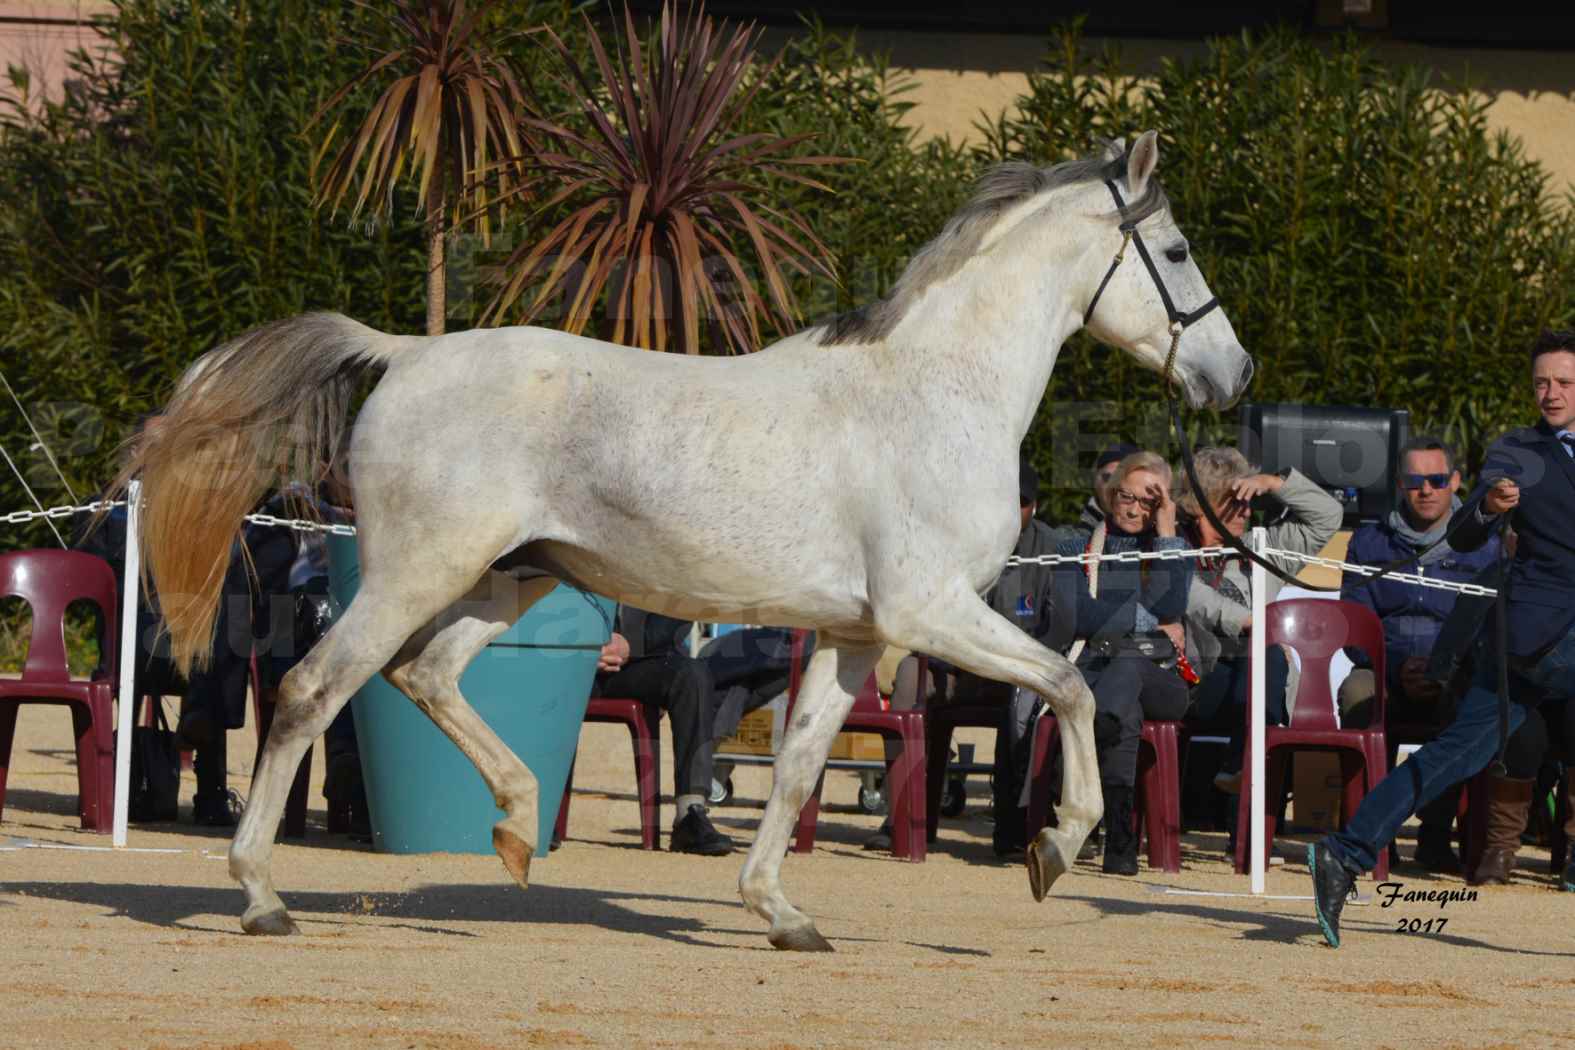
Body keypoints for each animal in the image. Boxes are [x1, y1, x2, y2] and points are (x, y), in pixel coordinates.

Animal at [122, 131, 1247, 950]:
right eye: (1178, 252)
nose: (1231, 377)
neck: (935, 394)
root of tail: (403, 353)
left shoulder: (854, 633)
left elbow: (797, 765)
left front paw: (781, 915)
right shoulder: (930, 612)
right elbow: (1067, 684)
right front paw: (1055, 848)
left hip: (507, 581)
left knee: (426, 677)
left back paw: (516, 830)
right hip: (416, 574)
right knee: (313, 690)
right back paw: (264, 896)